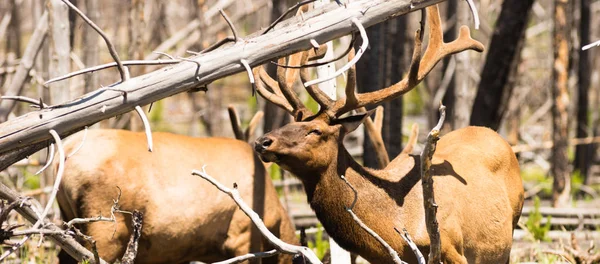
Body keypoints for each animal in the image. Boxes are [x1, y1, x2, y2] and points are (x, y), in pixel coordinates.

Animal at [251, 5, 524, 264]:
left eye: (316, 130)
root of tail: (495, 135)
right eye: (289, 122)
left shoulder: (452, 247)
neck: (392, 229)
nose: (262, 141)